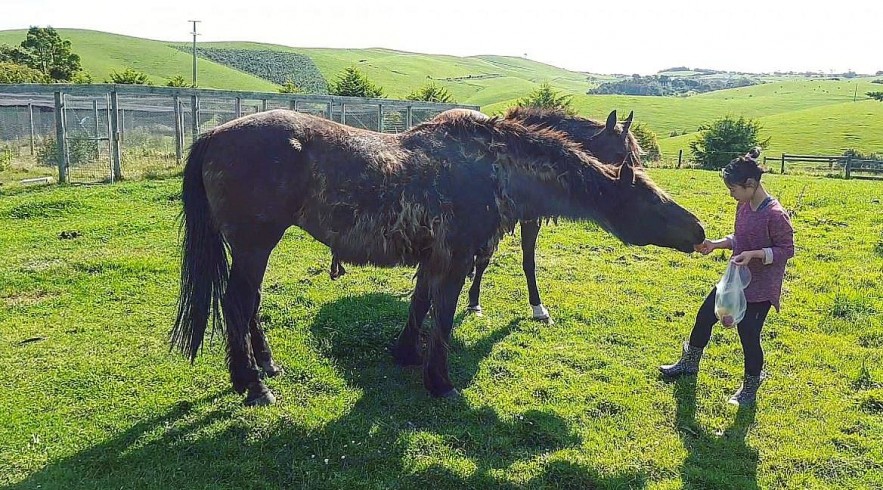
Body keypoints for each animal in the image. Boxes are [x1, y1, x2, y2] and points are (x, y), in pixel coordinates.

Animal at [171, 109, 704, 404]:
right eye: (651, 200)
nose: (698, 230)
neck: (493, 166)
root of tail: (213, 135)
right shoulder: (457, 257)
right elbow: (444, 316)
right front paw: (439, 380)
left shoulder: (436, 257)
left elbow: (420, 306)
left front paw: (406, 354)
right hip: (254, 244)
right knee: (237, 304)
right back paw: (252, 384)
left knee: (249, 304)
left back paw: (266, 366)